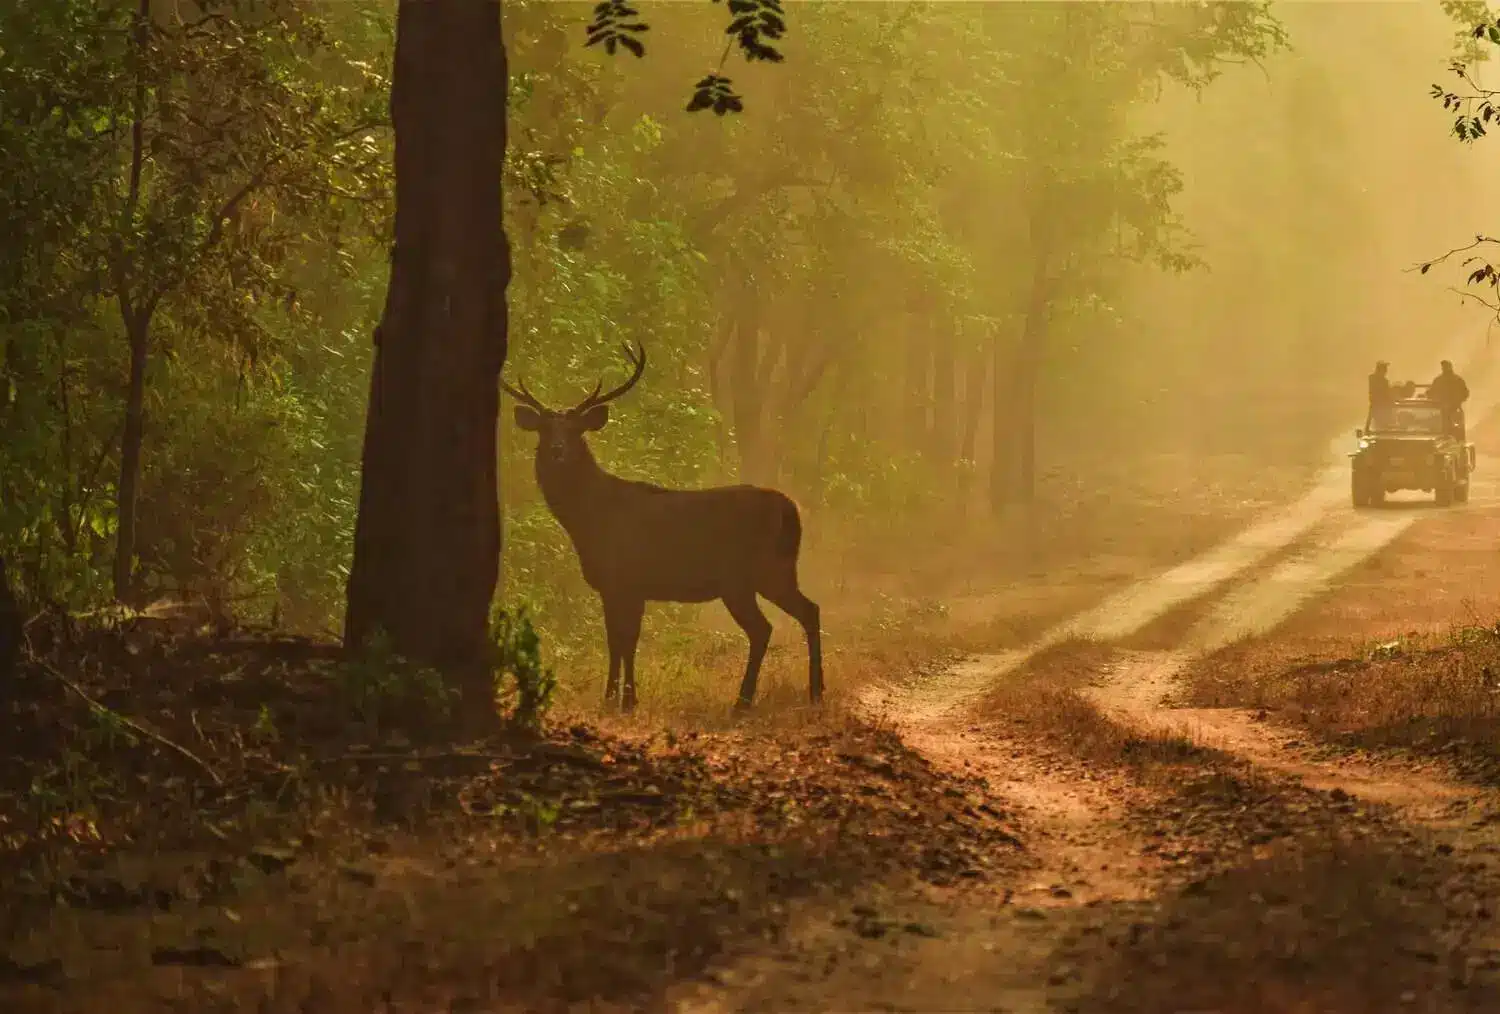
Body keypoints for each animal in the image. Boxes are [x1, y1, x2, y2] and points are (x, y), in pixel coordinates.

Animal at [510, 342, 828, 714]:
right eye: (545, 429)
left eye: (576, 430)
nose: (558, 450)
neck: (589, 521)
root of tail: (789, 509)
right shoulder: (618, 586)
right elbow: (616, 640)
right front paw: (614, 697)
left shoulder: (625, 580)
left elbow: (625, 640)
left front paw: (625, 700)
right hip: (776, 570)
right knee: (808, 610)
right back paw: (814, 692)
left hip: (747, 574)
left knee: (764, 628)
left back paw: (744, 701)